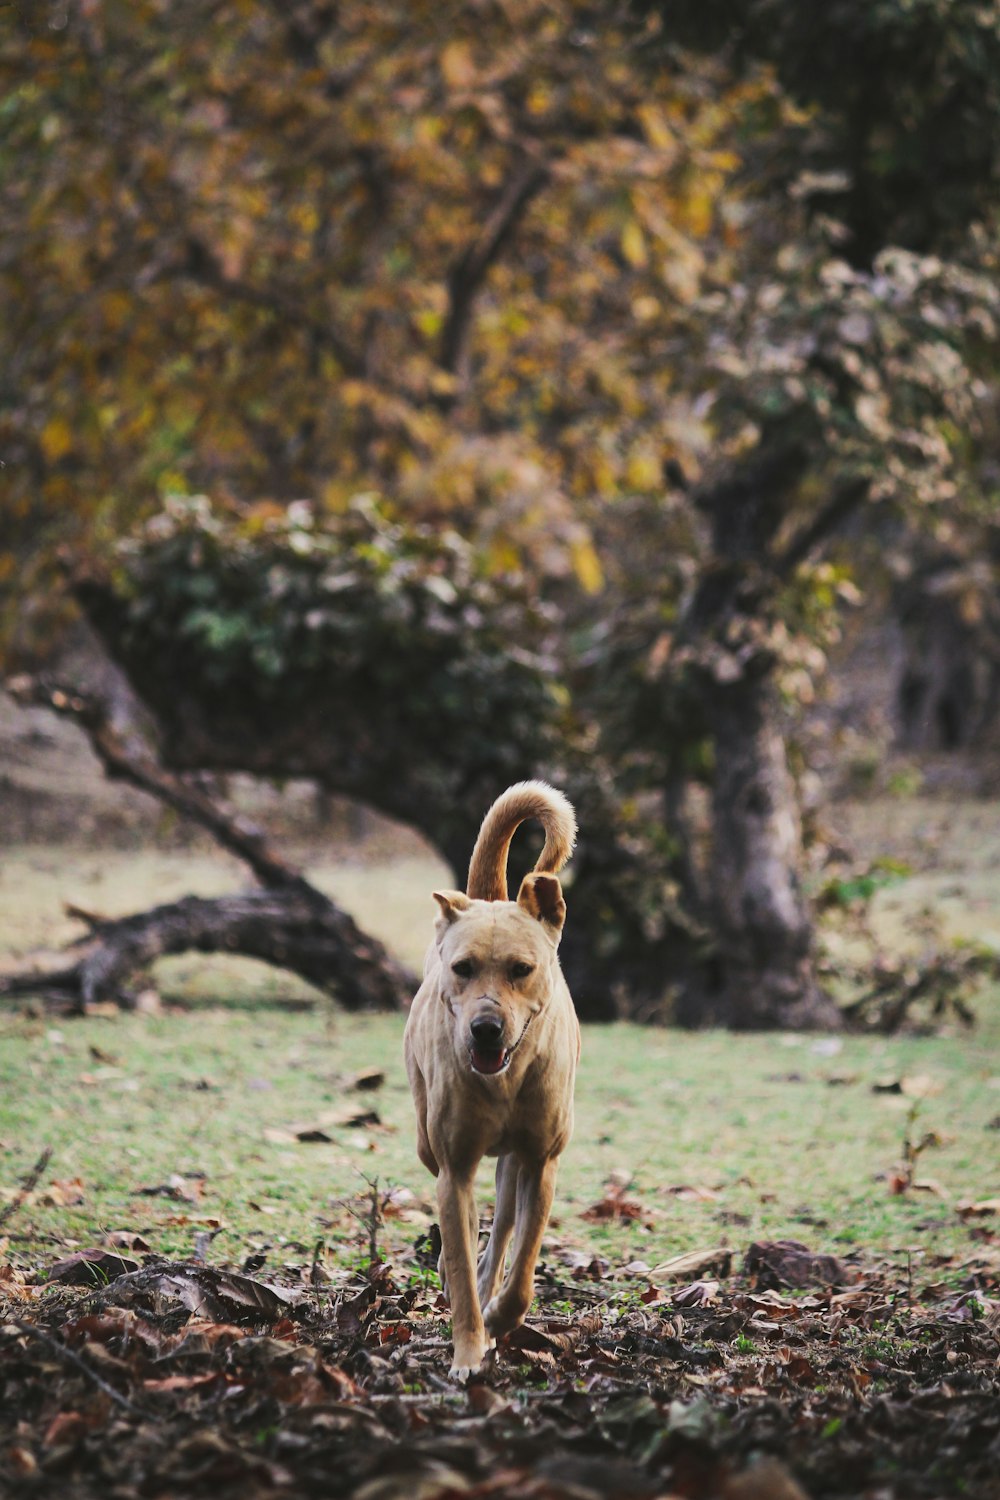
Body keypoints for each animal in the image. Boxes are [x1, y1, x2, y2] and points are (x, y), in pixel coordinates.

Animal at [404, 786, 581, 1380]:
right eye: (462, 967)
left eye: (521, 969)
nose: (485, 1028)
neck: (504, 1080)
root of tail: (488, 897)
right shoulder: (454, 1167)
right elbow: (459, 1261)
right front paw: (468, 1351)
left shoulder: (542, 1161)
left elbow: (524, 1260)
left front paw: (502, 1316)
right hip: (427, 1141)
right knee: (465, 1223)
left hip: (514, 1162)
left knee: (503, 1224)